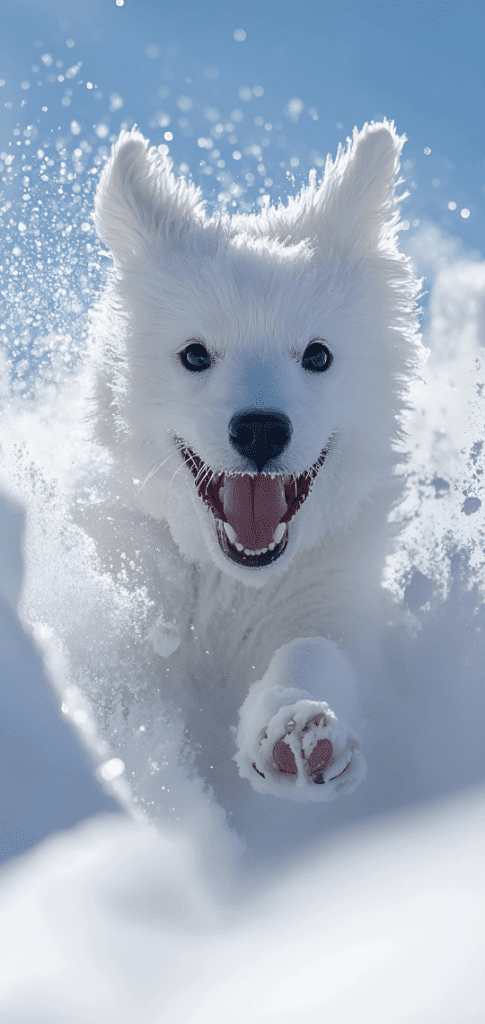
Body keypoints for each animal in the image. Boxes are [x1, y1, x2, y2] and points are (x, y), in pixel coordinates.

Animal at [85, 121, 421, 798]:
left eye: (318, 355)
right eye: (194, 355)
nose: (261, 428)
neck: (229, 585)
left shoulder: (333, 599)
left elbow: (316, 653)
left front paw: (300, 728)